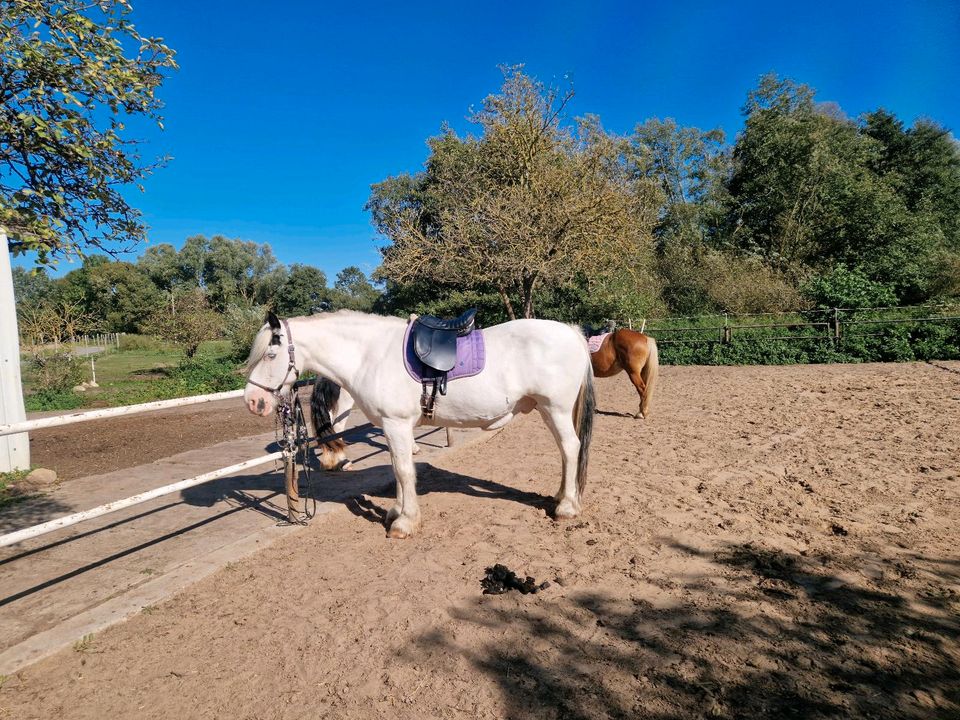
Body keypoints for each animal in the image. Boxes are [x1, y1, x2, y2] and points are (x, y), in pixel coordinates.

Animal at [246, 310, 592, 540]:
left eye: (271, 354)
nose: (253, 402)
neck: (370, 354)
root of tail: (573, 332)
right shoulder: (391, 427)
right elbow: (397, 469)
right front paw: (396, 512)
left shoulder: (397, 424)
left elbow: (403, 471)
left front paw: (405, 523)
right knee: (566, 451)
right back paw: (562, 497)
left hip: (555, 409)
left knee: (570, 448)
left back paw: (568, 507)